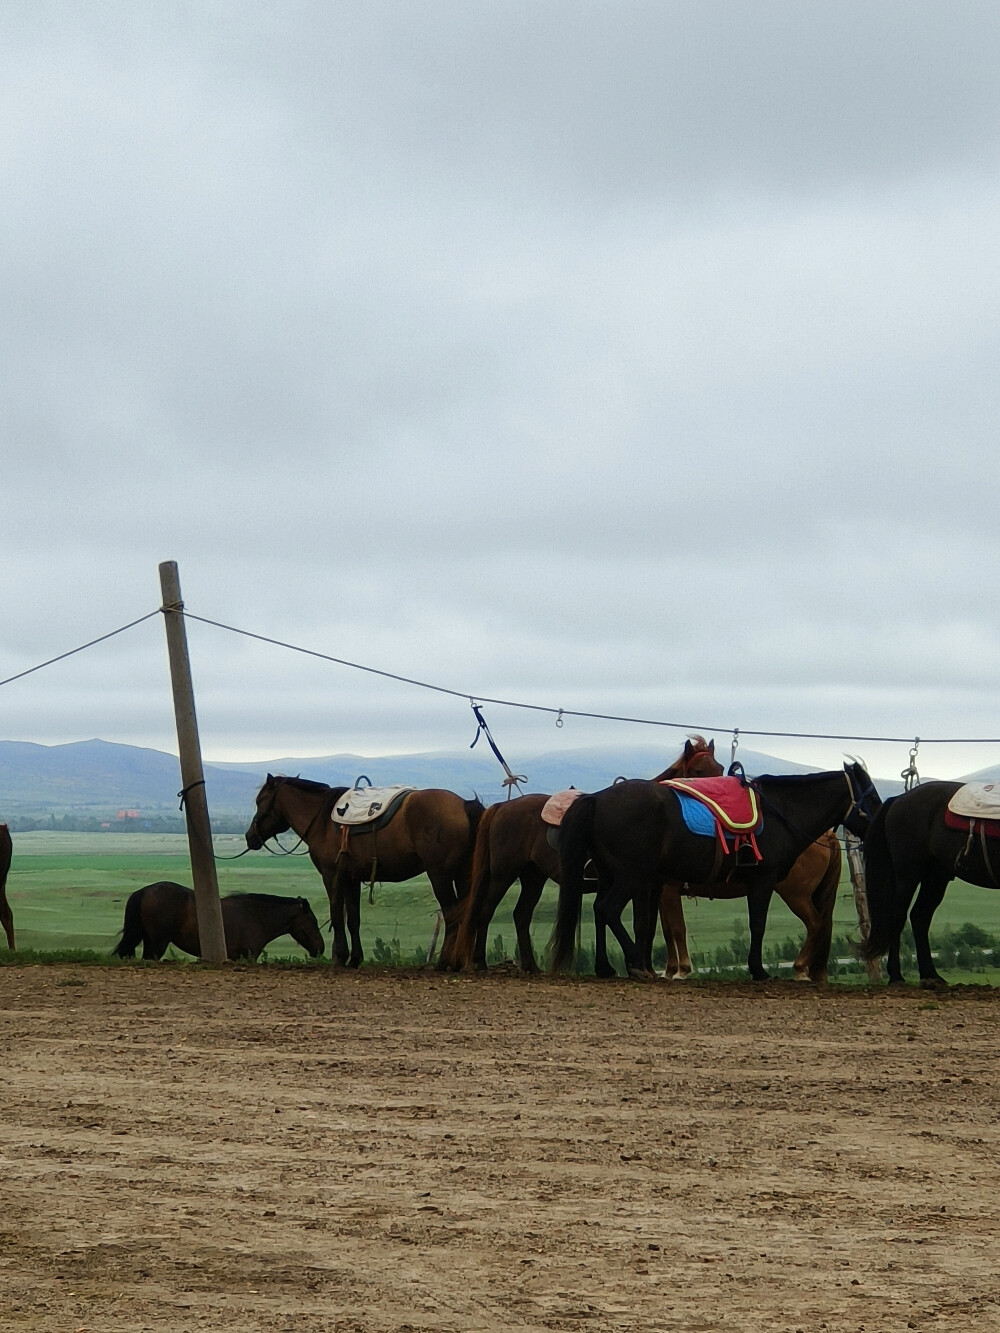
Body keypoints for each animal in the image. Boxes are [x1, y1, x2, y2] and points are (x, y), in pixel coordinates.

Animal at [249, 773, 488, 970]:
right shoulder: (351, 879)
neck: (323, 819)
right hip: (462, 875)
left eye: (260, 801)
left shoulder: (332, 877)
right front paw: (355, 959)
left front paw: (340, 957)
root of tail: (464, 805)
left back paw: (444, 963)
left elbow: (337, 915)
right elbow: (353, 919)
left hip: (440, 875)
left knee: (452, 916)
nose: (250, 837)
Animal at [453, 735, 720, 975]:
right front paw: (636, 965)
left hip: (533, 877)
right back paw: (480, 962)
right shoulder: (641, 885)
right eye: (697, 770)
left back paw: (531, 966)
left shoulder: (650, 885)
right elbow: (639, 924)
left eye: (719, 768)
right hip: (504, 874)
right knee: (486, 911)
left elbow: (641, 924)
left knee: (521, 915)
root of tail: (502, 807)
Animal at [666, 826, 848, 986]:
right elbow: (669, 931)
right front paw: (669, 971)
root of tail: (827, 835)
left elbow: (677, 928)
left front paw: (681, 971)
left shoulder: (670, 887)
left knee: (815, 923)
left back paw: (800, 969)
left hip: (796, 896)